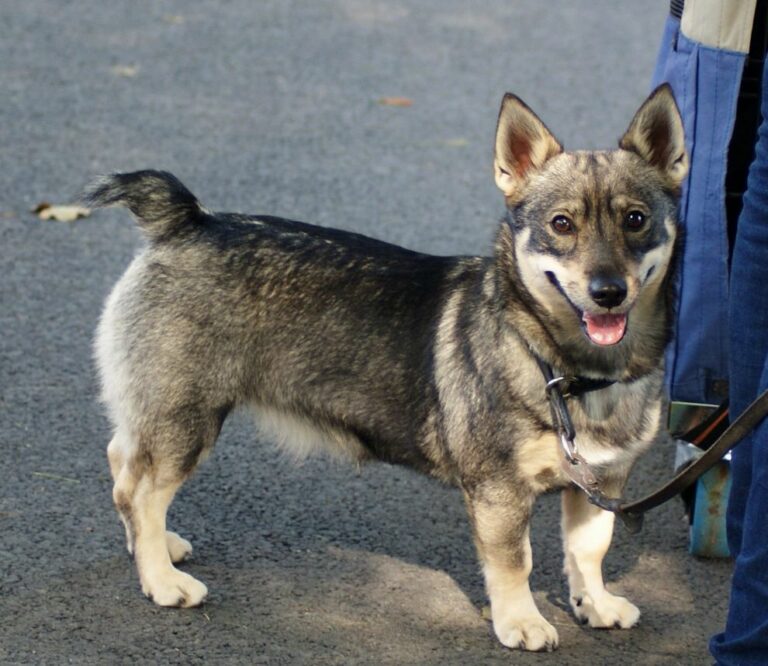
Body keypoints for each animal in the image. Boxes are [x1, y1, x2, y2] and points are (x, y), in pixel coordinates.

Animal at [91, 85, 688, 652]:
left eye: (635, 220)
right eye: (561, 224)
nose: (608, 292)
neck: (565, 368)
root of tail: (189, 220)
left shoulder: (601, 483)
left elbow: (590, 550)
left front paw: (596, 604)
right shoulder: (499, 492)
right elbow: (515, 563)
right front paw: (520, 621)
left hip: (161, 417)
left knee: (124, 463)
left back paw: (154, 549)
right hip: (185, 422)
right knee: (141, 492)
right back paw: (161, 580)